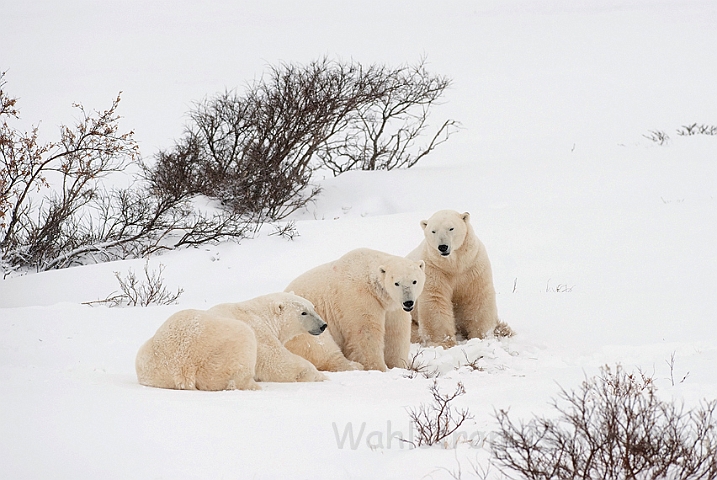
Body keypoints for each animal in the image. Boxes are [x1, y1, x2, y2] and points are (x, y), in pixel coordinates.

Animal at [136, 292, 328, 390]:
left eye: (313, 307)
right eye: (303, 312)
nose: (323, 325)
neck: (261, 313)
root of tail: (181, 366)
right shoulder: (258, 329)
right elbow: (276, 362)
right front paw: (321, 376)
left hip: (150, 363)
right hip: (222, 352)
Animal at [284, 248, 426, 372]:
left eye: (414, 281)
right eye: (397, 283)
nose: (408, 302)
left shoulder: (393, 307)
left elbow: (396, 333)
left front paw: (399, 365)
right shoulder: (359, 297)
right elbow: (365, 333)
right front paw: (377, 367)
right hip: (304, 325)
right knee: (322, 347)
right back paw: (355, 366)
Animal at [406, 208, 512, 346]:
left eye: (451, 228)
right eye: (433, 231)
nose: (443, 247)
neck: (454, 265)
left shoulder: (473, 265)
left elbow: (476, 297)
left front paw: (481, 337)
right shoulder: (434, 268)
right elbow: (436, 300)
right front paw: (444, 343)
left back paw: (503, 329)